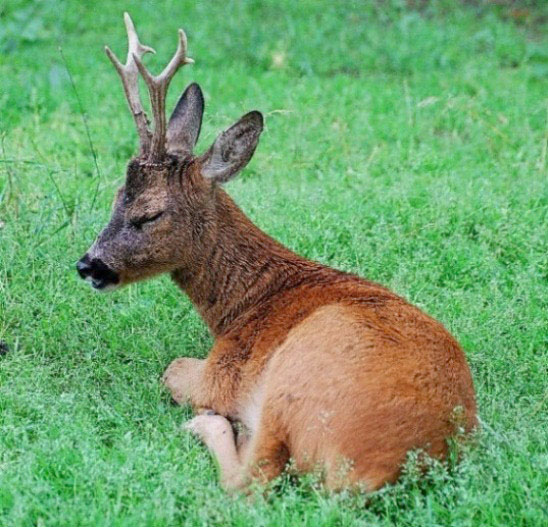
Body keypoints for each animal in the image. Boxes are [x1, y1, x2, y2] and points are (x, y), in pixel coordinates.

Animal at [75, 14, 478, 492]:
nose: (88, 265)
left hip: (292, 376)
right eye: (117, 196)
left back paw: (208, 424)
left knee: (254, 479)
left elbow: (172, 370)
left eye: (149, 214)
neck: (245, 303)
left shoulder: (225, 370)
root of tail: (371, 474)